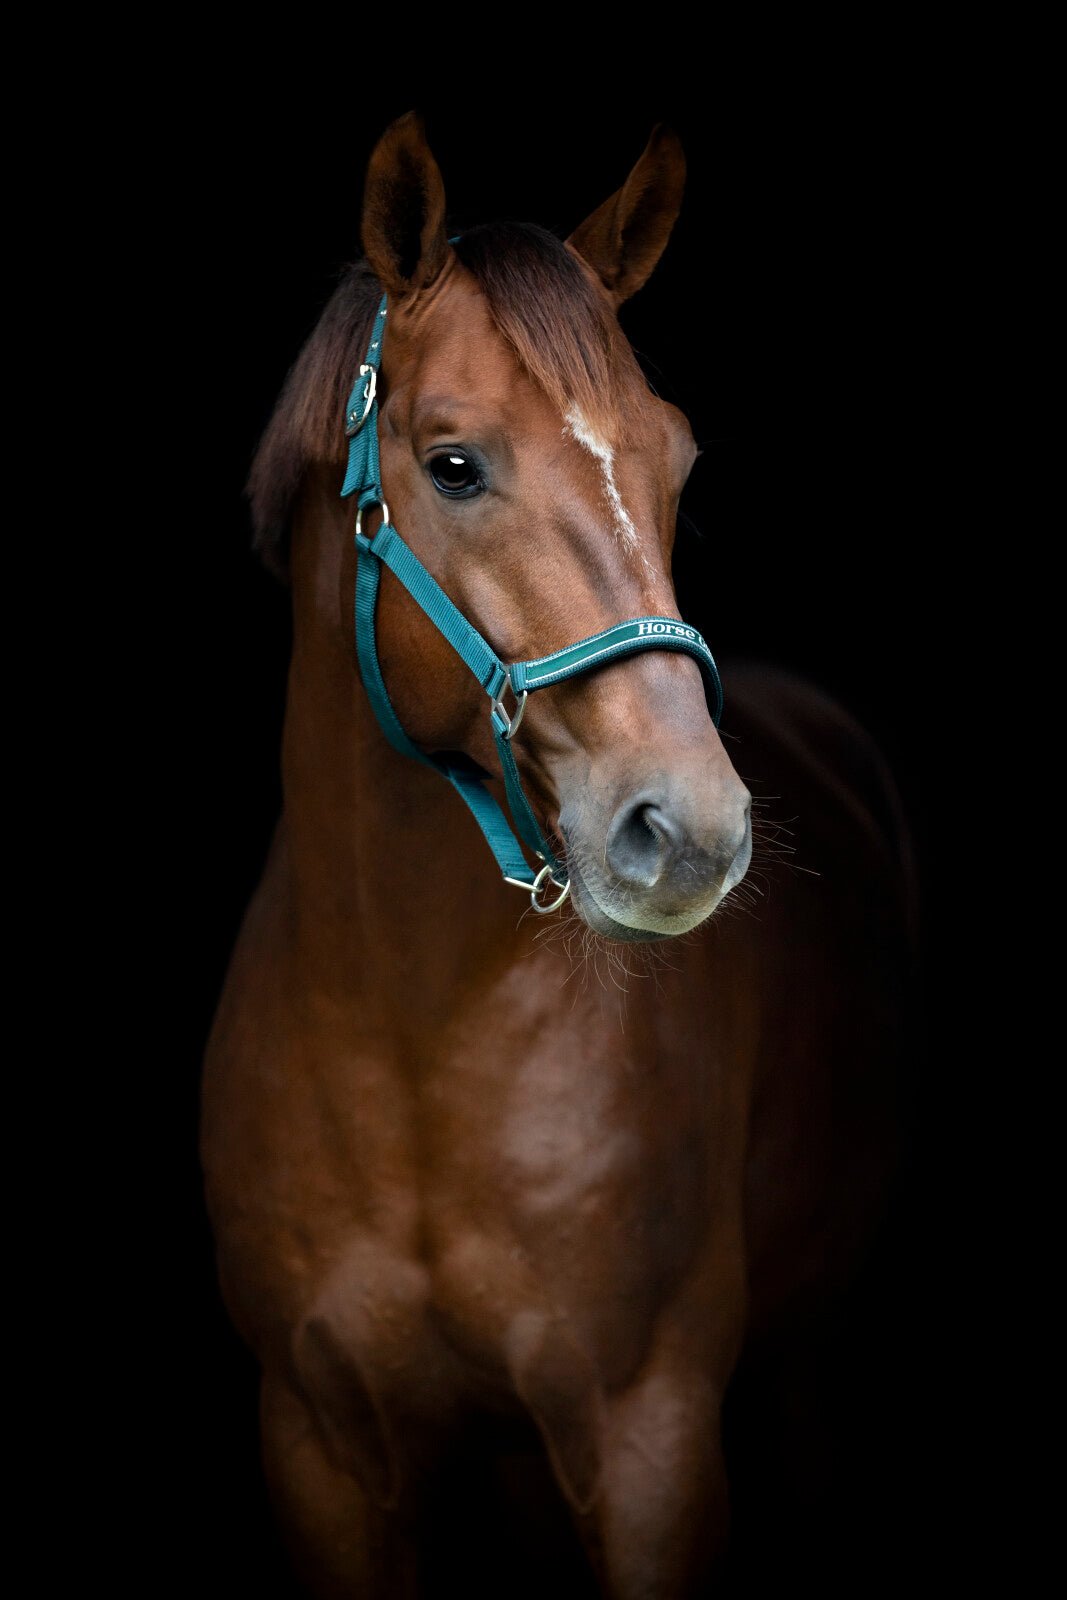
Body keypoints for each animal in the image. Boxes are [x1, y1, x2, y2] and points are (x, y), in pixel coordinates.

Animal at [202, 113, 914, 1597]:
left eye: (674, 460)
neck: (409, 1034)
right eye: (453, 463)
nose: (688, 829)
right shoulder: (318, 1448)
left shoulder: (649, 1447)